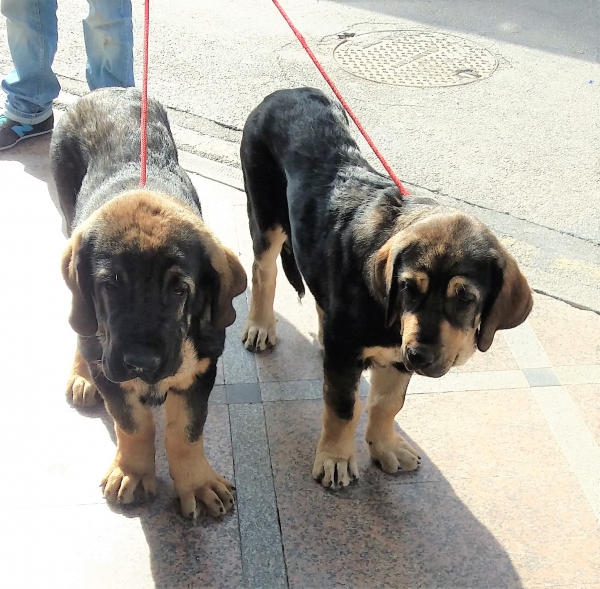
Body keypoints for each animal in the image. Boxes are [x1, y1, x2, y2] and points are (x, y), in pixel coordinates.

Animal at [51, 86, 246, 516]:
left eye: (178, 289)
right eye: (111, 284)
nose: (141, 361)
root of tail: (106, 90)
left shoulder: (200, 370)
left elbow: (185, 432)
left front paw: (197, 483)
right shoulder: (113, 371)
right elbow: (133, 425)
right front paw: (133, 472)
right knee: (82, 327)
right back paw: (81, 372)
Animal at [239, 87, 528, 490]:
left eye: (465, 298)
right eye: (408, 288)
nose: (420, 356)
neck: (389, 320)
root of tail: (287, 92)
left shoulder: (395, 355)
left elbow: (387, 402)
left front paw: (385, 445)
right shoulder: (351, 354)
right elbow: (343, 407)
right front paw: (336, 458)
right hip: (265, 215)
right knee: (262, 271)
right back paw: (261, 325)